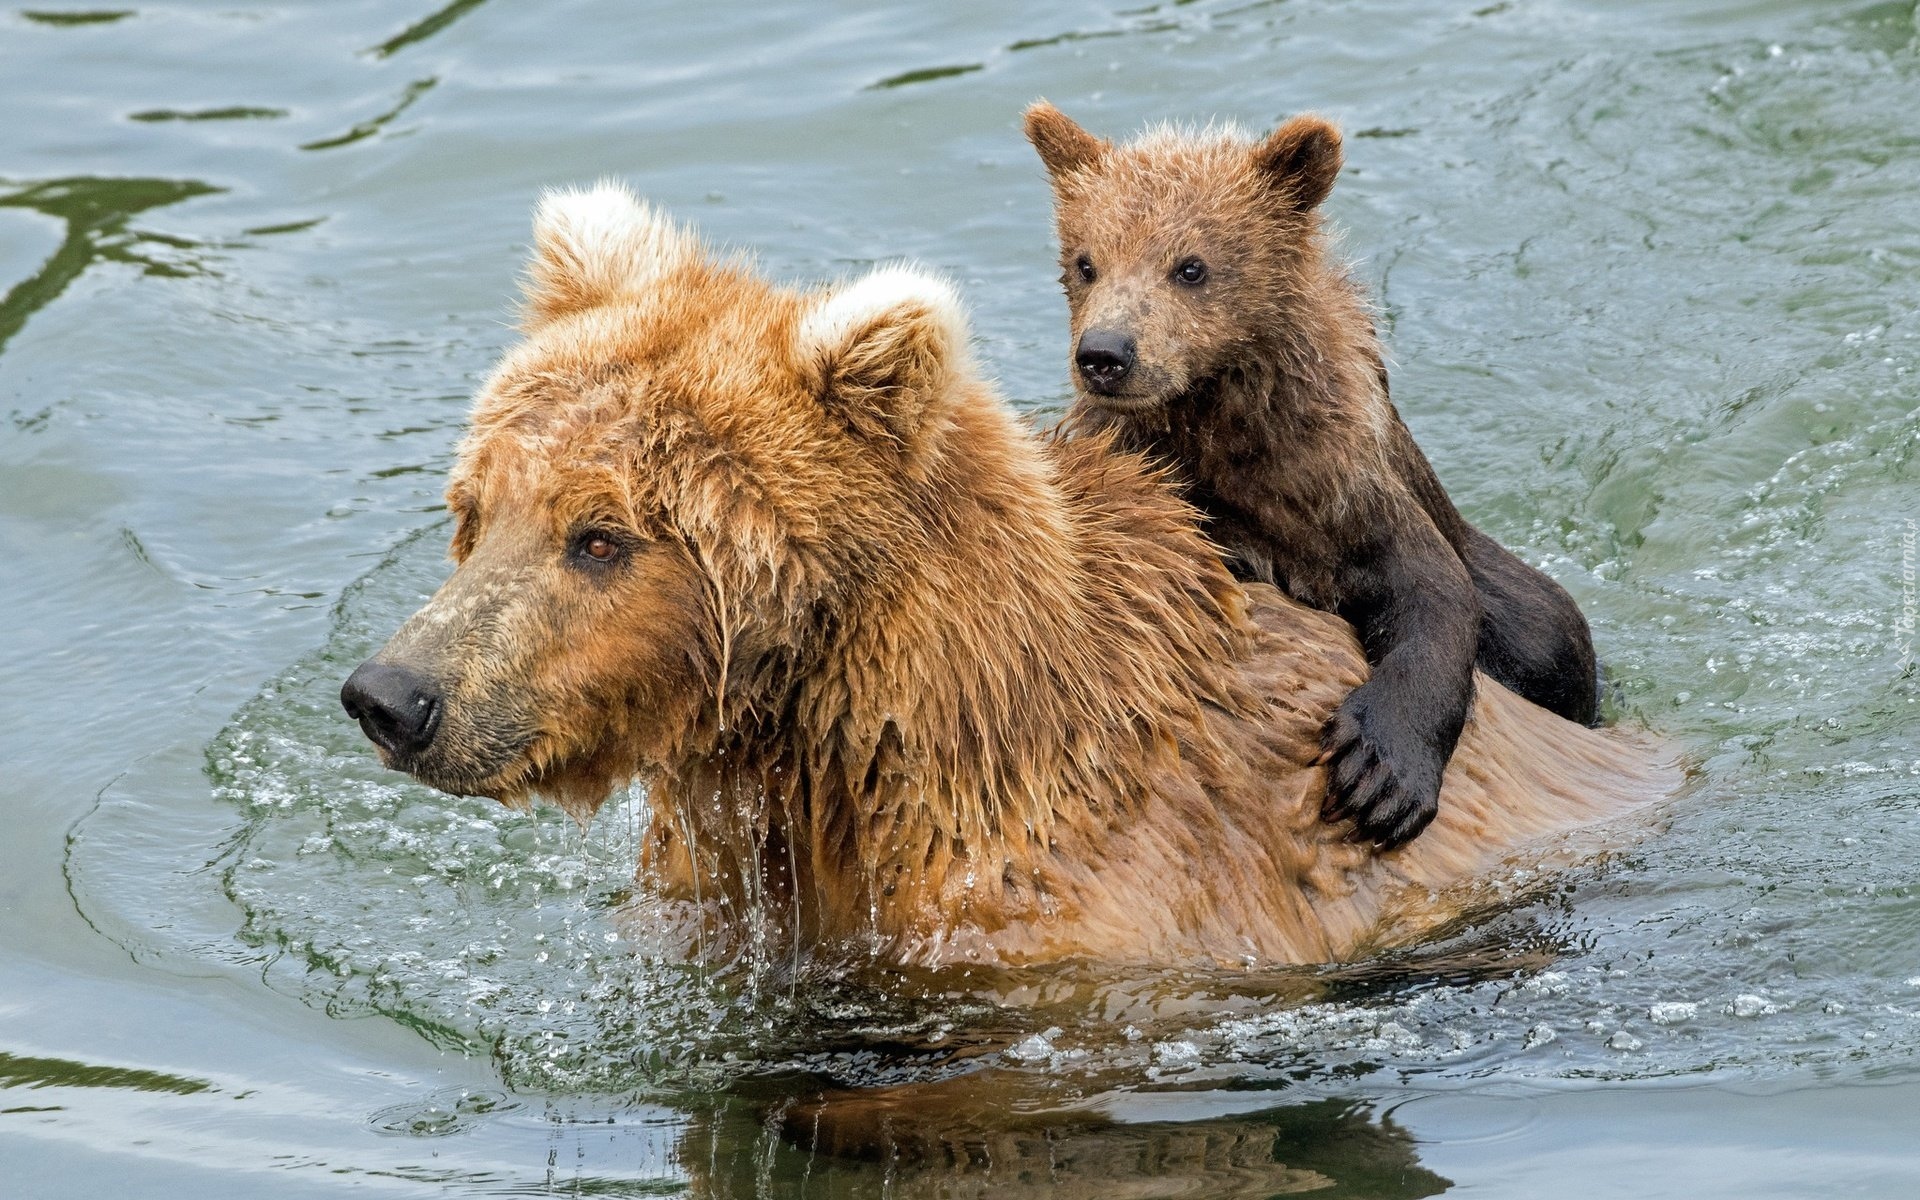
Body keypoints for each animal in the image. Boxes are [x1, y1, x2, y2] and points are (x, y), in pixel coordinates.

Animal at [1029, 102, 1597, 852]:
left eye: (1190, 266)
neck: (1222, 425)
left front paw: (1379, 777)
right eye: (1086, 262)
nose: (1105, 353)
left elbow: (1434, 596)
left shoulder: (1343, 488)